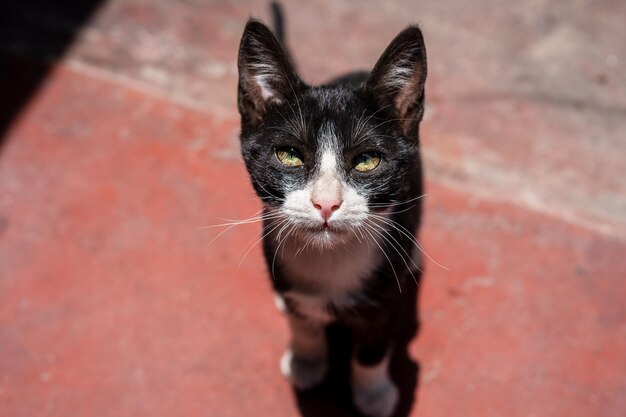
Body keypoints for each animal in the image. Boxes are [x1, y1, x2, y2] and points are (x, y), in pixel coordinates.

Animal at [236, 4, 426, 416]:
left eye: (367, 161)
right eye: (289, 155)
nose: (326, 203)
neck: (331, 261)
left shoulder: (386, 298)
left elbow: (373, 347)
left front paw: (373, 395)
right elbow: (303, 325)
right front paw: (306, 362)